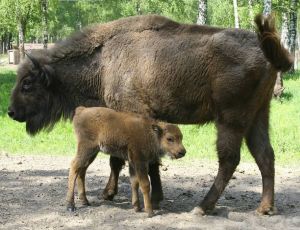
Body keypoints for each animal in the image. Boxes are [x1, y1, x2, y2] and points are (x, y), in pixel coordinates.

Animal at [8, 14, 292, 216]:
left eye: (27, 84)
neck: (103, 61)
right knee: (265, 155)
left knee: (230, 159)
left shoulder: (130, 113)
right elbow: (140, 161)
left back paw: (202, 207)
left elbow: (121, 161)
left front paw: (122, 196)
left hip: (230, 119)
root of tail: (268, 52)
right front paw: (146, 196)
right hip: (258, 115)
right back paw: (265, 208)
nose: (11, 112)